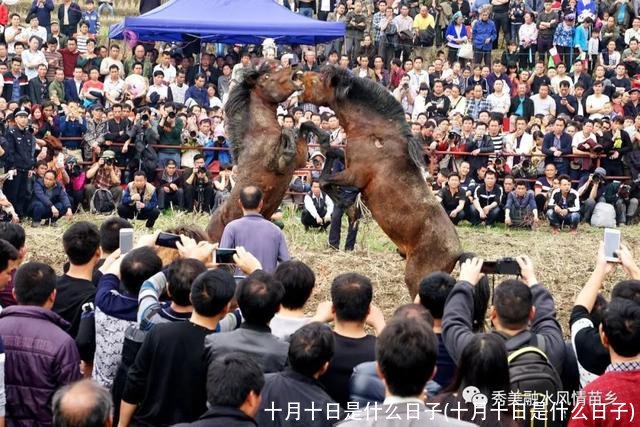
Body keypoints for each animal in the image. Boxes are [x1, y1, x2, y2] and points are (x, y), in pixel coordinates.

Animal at [300, 67, 460, 298]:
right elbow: (331, 153)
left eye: (319, 80)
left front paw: (348, 206)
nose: (298, 75)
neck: (374, 133)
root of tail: (457, 253)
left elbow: (323, 181)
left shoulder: (354, 175)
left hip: (416, 278)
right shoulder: (347, 162)